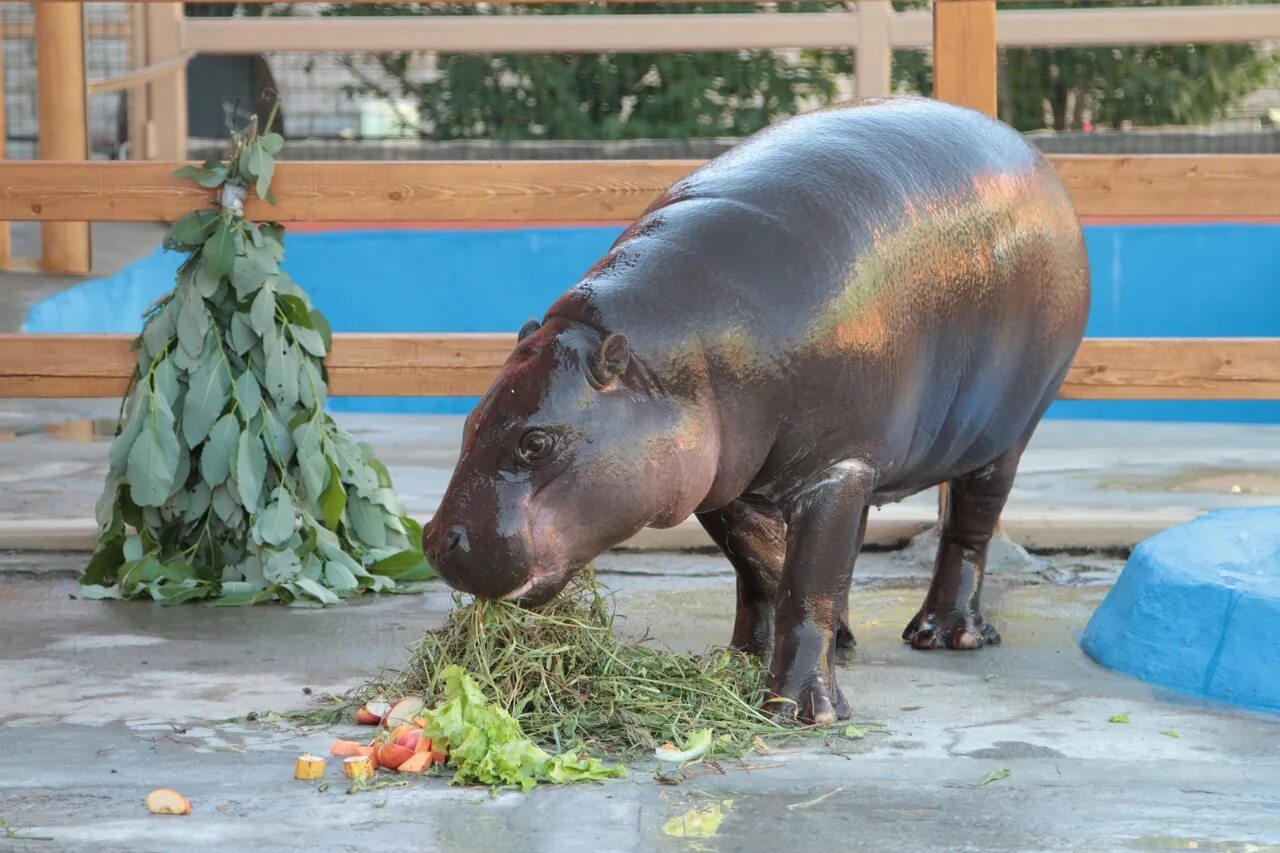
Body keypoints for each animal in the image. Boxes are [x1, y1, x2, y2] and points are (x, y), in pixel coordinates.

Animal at [422, 94, 1090, 717]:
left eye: (536, 443)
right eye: (470, 420)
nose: (434, 539)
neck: (664, 362)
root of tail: (1031, 154)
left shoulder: (836, 467)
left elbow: (809, 579)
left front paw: (801, 710)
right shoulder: (722, 477)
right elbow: (763, 570)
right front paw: (745, 658)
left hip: (1005, 432)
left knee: (968, 528)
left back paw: (945, 635)